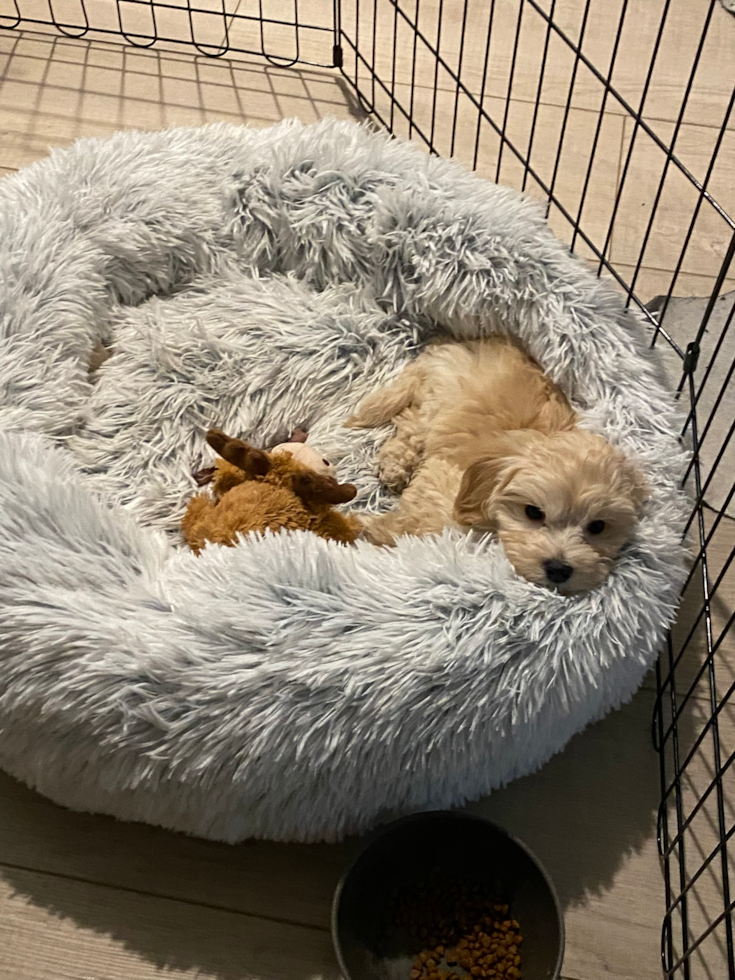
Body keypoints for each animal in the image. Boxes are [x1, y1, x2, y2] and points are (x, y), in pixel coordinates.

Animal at [348, 334, 648, 592]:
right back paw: (395, 466)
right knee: (411, 423)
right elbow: (413, 522)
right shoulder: (438, 485)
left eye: (598, 527)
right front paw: (368, 530)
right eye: (533, 512)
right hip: (435, 401)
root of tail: (457, 343)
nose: (559, 569)